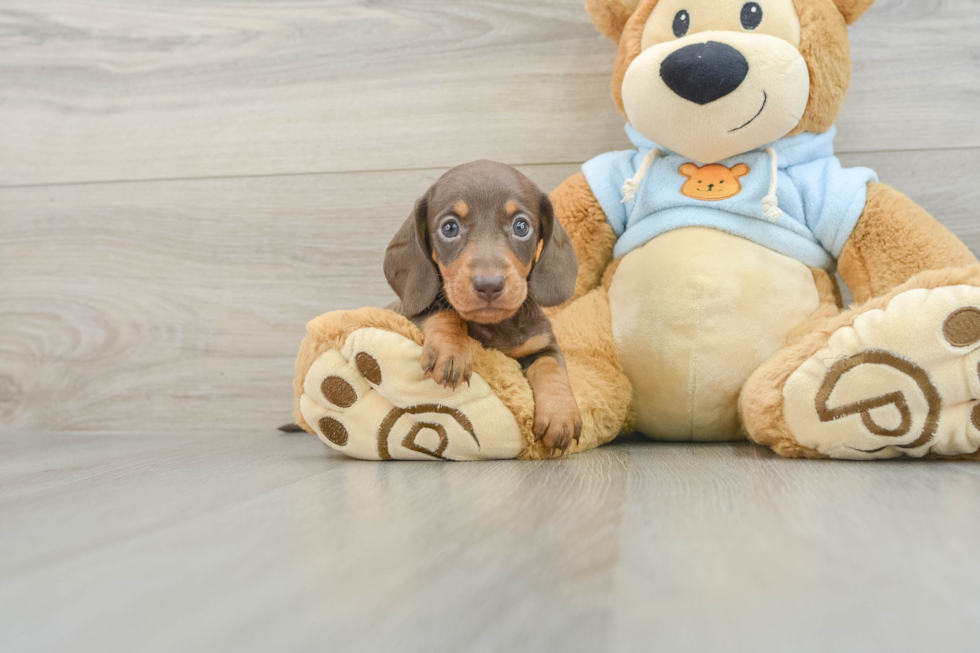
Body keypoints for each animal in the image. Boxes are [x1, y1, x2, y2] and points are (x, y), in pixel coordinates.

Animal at [382, 159, 580, 454]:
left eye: (521, 226)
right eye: (450, 228)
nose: (489, 285)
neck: (495, 326)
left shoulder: (543, 343)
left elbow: (550, 366)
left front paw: (561, 413)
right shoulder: (409, 314)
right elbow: (443, 312)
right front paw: (451, 350)